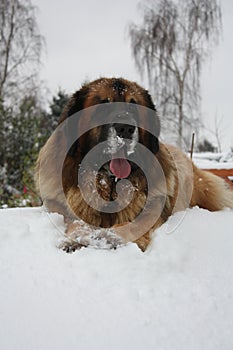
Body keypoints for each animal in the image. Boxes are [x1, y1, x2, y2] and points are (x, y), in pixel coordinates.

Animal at [34, 77, 233, 252]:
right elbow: (75, 221)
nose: (125, 128)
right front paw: (77, 239)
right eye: (103, 106)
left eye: (134, 106)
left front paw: (109, 237)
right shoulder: (59, 207)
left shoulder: (152, 206)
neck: (109, 184)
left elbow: (133, 224)